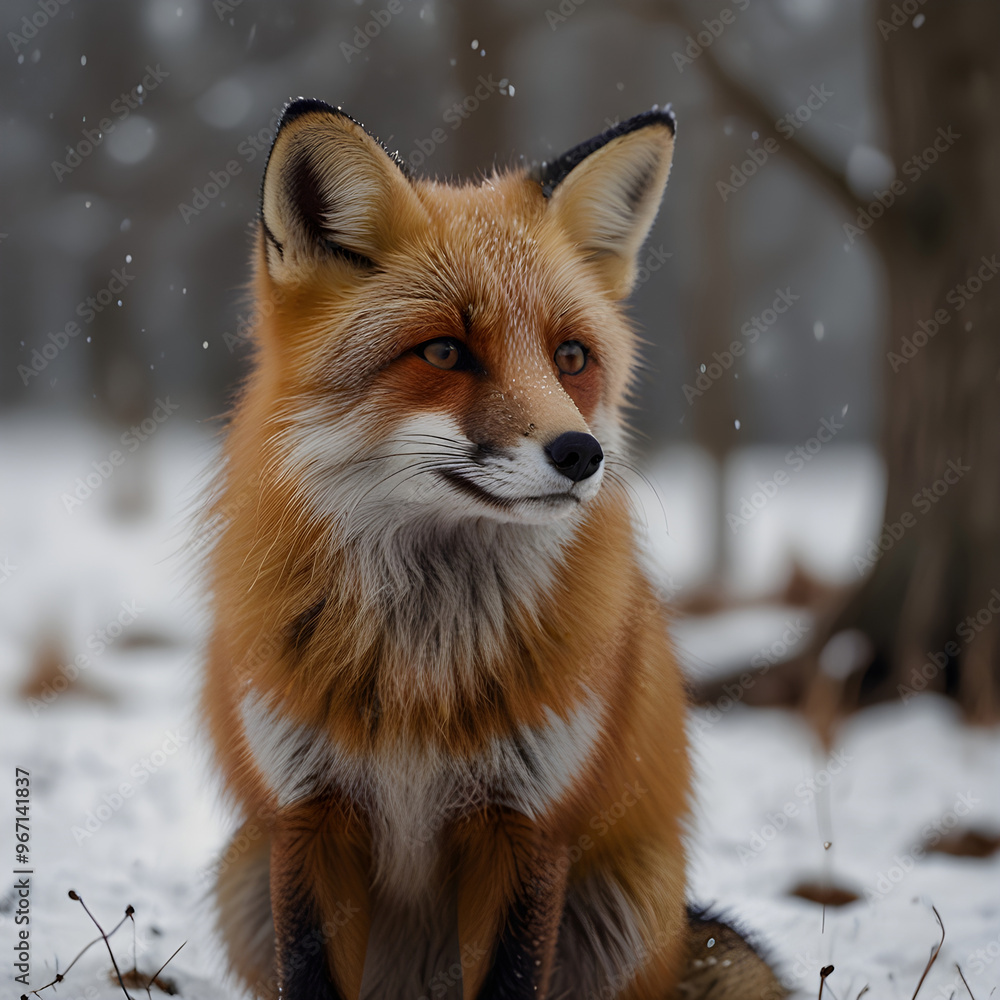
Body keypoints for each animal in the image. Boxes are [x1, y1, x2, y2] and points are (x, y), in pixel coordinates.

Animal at [201, 98, 785, 1000]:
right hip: (242, 874)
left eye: (571, 357)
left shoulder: (526, 824)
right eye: (444, 351)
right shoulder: (307, 816)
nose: (582, 454)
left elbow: (511, 978)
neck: (422, 661)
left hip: (629, 902)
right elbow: (312, 975)